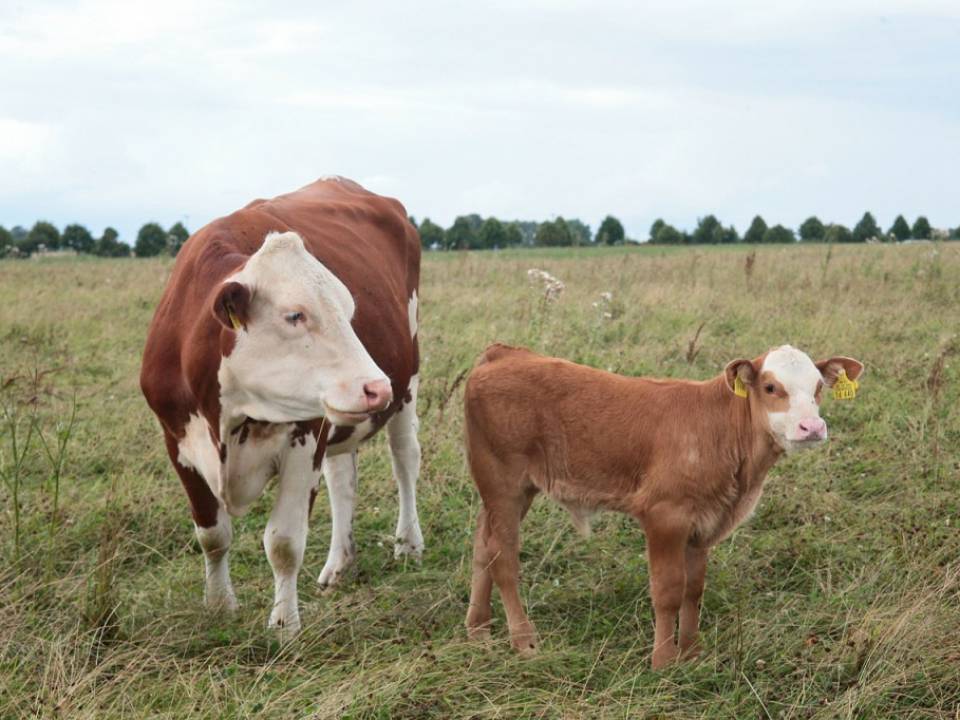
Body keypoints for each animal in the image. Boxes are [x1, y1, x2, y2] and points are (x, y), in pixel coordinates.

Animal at [142, 177, 424, 632]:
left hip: (408, 381)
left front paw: (284, 627)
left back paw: (408, 544)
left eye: (349, 311)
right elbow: (211, 534)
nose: (376, 387)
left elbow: (284, 543)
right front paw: (219, 606)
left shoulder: (304, 438)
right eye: (295, 315)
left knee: (405, 460)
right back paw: (338, 564)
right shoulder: (178, 442)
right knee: (342, 479)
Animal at [462, 344, 868, 668]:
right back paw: (523, 640)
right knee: (504, 558)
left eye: (818, 388)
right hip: (503, 483)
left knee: (483, 544)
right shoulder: (664, 516)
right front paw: (663, 660)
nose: (811, 427)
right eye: (771, 387)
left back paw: (478, 628)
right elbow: (668, 590)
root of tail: (504, 353)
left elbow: (694, 589)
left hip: (512, 490)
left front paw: (691, 652)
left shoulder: (704, 524)